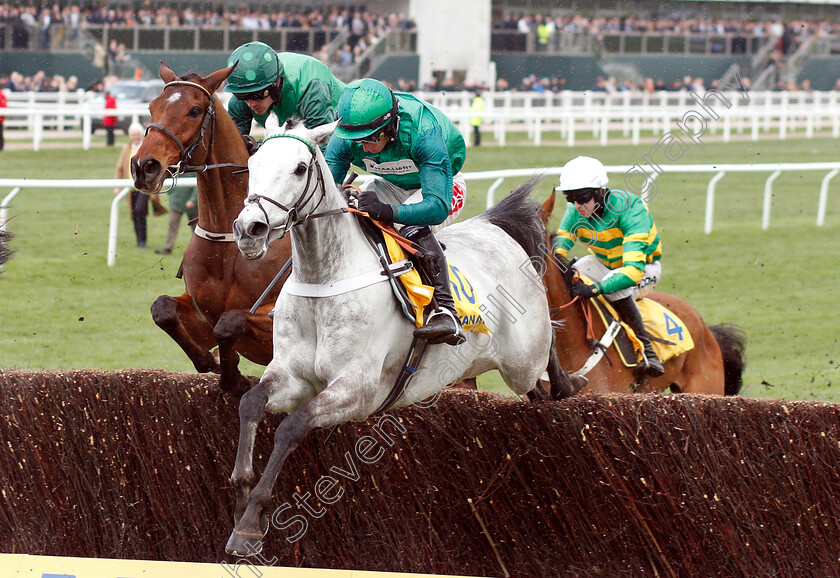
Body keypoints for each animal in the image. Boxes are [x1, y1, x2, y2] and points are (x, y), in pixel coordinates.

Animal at [129, 64, 292, 396]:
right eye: (151, 107)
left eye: (194, 110)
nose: (143, 166)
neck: (228, 244)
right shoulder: (200, 313)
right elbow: (163, 308)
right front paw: (213, 361)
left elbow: (230, 323)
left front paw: (234, 376)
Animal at [225, 113, 572, 552]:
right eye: (252, 165)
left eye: (300, 168)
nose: (248, 229)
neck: (326, 279)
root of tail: (493, 227)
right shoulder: (290, 375)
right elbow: (250, 403)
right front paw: (240, 502)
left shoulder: (357, 389)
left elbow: (292, 427)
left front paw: (251, 522)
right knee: (538, 390)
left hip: (522, 359)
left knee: (547, 355)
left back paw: (568, 382)